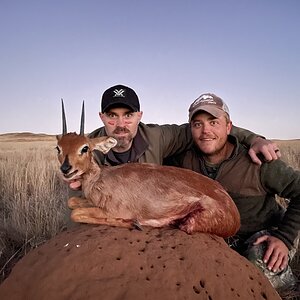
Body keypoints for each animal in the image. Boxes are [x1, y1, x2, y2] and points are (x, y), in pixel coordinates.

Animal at [55, 102, 239, 238]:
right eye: (58, 148)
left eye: (85, 147)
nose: (66, 168)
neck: (100, 178)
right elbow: (72, 202)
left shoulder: (112, 209)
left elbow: (75, 213)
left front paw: (133, 223)